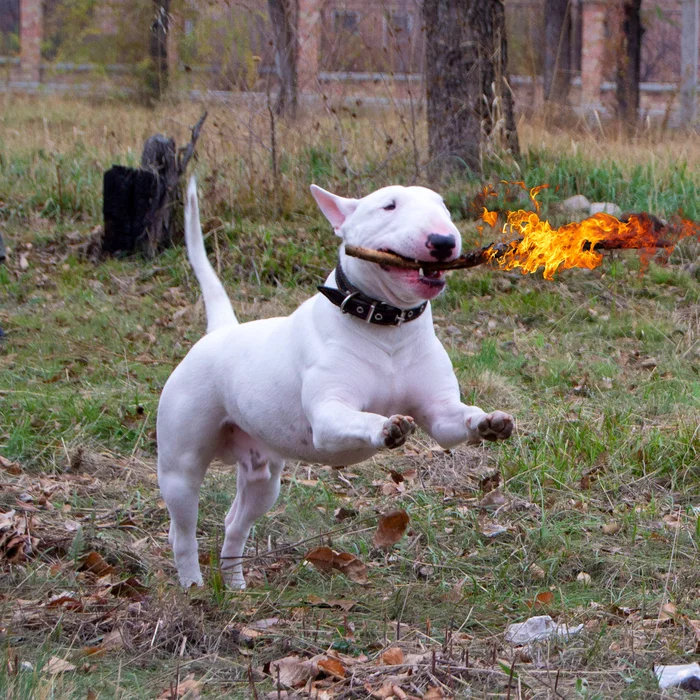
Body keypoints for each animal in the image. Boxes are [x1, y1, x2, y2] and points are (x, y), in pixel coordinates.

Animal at [159, 178, 516, 588]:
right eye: (389, 206)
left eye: (443, 207)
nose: (443, 241)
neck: (387, 327)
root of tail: (220, 332)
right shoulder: (328, 416)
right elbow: (359, 418)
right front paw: (387, 427)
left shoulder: (439, 413)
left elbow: (456, 420)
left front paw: (489, 422)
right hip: (181, 468)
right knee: (181, 531)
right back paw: (193, 586)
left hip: (263, 478)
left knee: (235, 523)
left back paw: (235, 587)